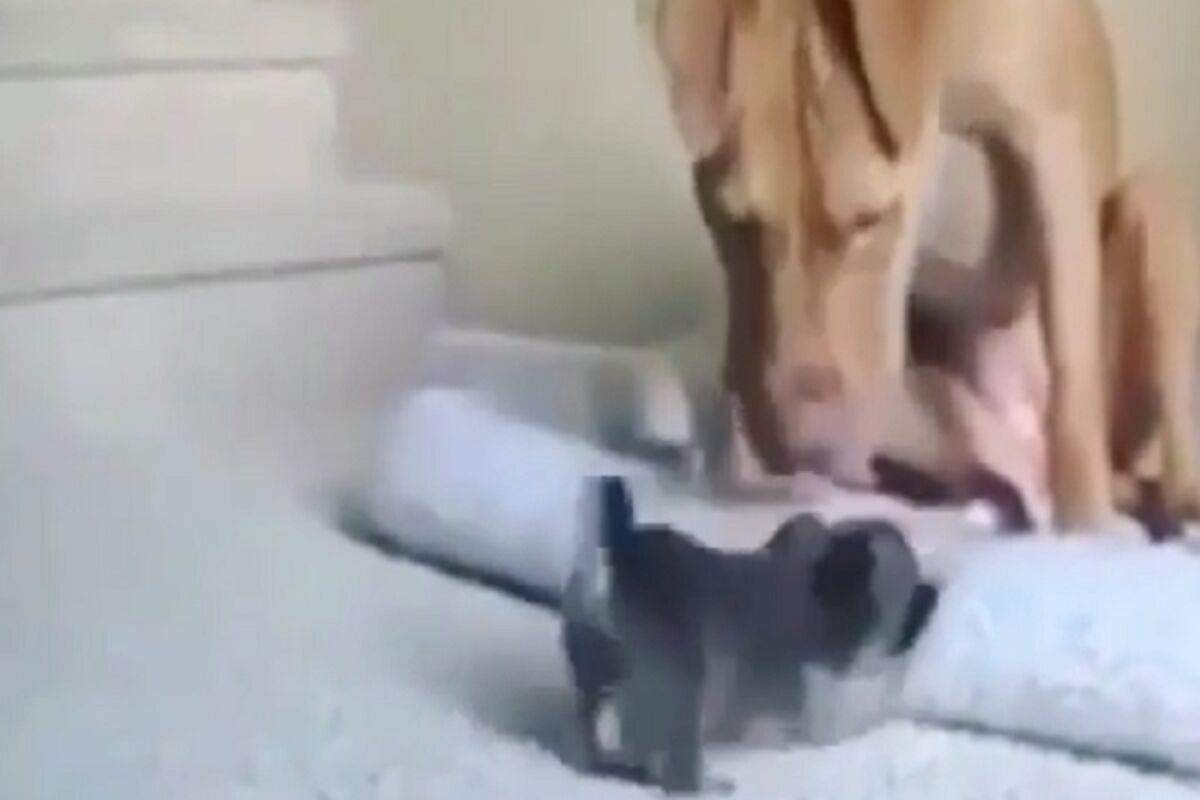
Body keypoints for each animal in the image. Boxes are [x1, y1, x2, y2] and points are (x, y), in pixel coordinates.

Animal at [561, 476, 937, 793]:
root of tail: (618, 550)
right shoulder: (827, 713)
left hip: (598, 672)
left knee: (600, 733)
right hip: (685, 687)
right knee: (677, 771)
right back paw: (707, 783)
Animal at [652, 0, 1200, 531]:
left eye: (870, 218)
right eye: (732, 218)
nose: (795, 453)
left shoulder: (1052, 139)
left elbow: (1072, 365)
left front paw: (1086, 528)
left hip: (1154, 205)